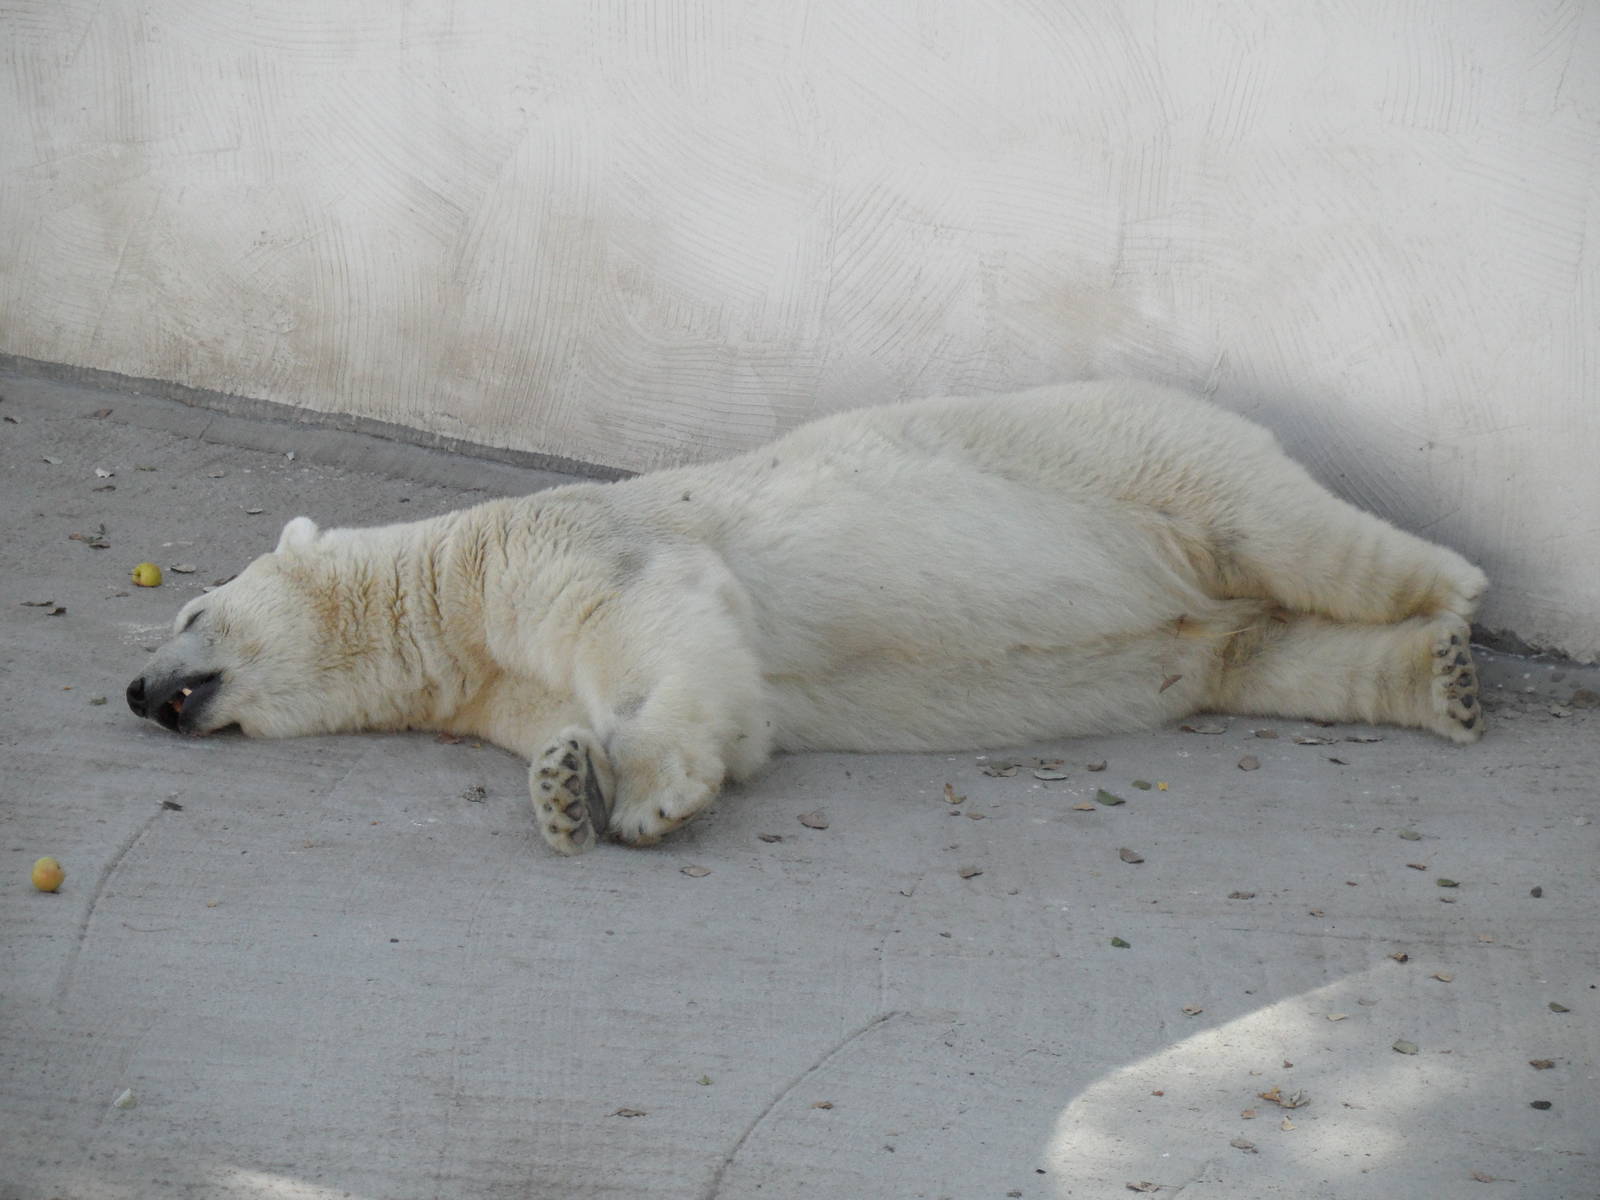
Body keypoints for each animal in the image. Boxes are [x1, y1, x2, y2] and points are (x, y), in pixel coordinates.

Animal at [127, 380, 1487, 855]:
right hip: (1203, 618)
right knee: (1269, 652)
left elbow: (664, 627)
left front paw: (644, 794)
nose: (137, 693)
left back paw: (1456, 595)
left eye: (191, 605)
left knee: (1302, 539)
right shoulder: (500, 673)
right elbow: (641, 703)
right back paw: (1437, 679)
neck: (447, 593)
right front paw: (570, 782)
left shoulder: (562, 544)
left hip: (1138, 458)